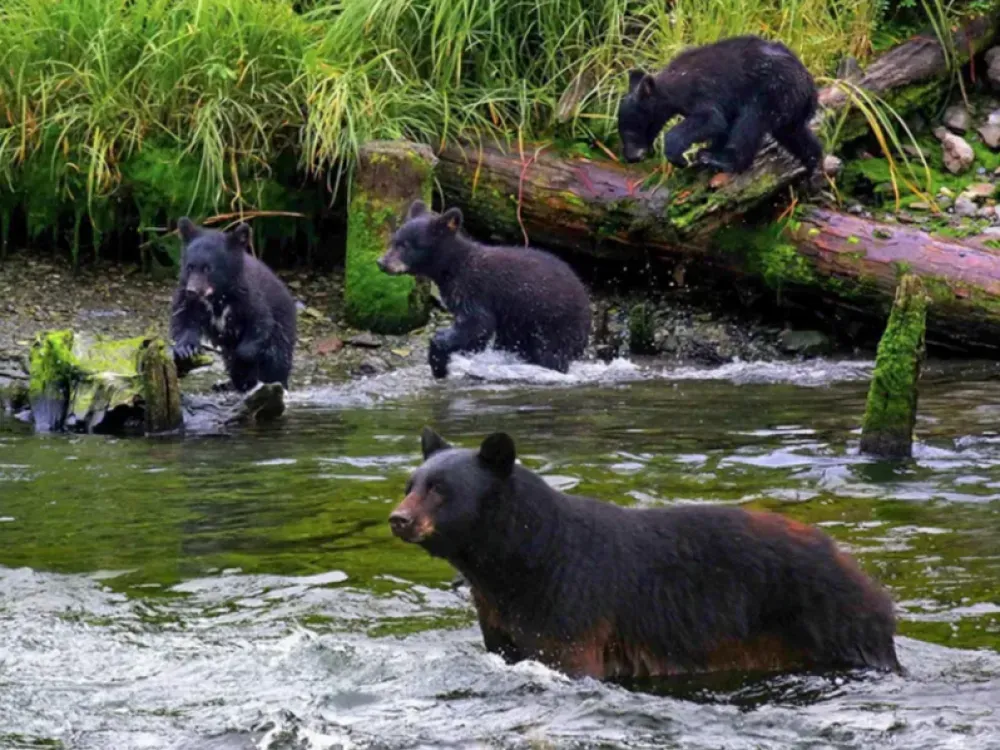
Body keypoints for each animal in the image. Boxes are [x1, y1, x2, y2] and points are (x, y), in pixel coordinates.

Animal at [170, 218, 297, 392]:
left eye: (208, 268)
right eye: (190, 266)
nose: (192, 291)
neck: (218, 295)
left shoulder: (248, 297)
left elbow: (260, 322)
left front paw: (241, 357)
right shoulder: (187, 295)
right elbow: (183, 316)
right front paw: (185, 349)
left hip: (283, 329)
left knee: (276, 360)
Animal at [376, 201, 591, 379]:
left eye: (406, 245)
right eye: (393, 241)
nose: (381, 262)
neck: (453, 266)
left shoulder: (473, 289)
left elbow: (479, 324)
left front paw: (439, 362)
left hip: (554, 323)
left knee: (551, 354)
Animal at [389, 427, 902, 680]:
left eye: (440, 489)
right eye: (411, 483)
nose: (398, 518)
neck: (518, 562)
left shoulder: (571, 607)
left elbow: (571, 658)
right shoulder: (501, 618)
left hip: (830, 623)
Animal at [617, 35, 823, 179]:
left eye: (632, 129)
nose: (631, 156)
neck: (672, 85)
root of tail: (810, 88)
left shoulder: (701, 91)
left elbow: (712, 119)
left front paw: (680, 157)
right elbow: (722, 126)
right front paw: (709, 149)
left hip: (773, 91)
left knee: (751, 123)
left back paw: (722, 161)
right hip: (790, 105)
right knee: (794, 133)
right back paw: (814, 164)